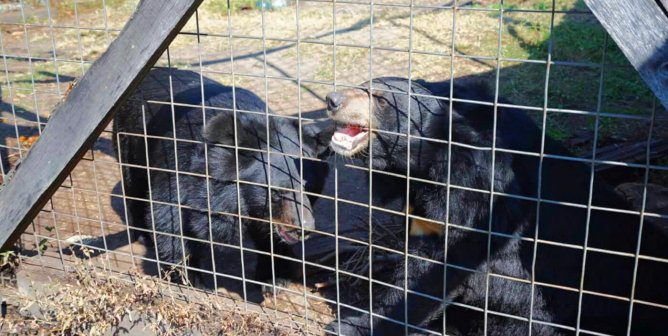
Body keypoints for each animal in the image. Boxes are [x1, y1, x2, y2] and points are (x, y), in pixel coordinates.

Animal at [115, 67, 334, 288]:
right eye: (277, 193)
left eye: (306, 187)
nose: (304, 229)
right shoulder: (179, 163)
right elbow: (169, 216)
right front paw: (189, 279)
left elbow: (269, 234)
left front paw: (275, 277)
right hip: (131, 140)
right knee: (134, 185)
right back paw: (143, 235)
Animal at [324, 77, 668, 334]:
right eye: (362, 85)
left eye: (381, 100)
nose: (331, 99)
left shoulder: (474, 186)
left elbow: (438, 261)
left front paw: (352, 324)